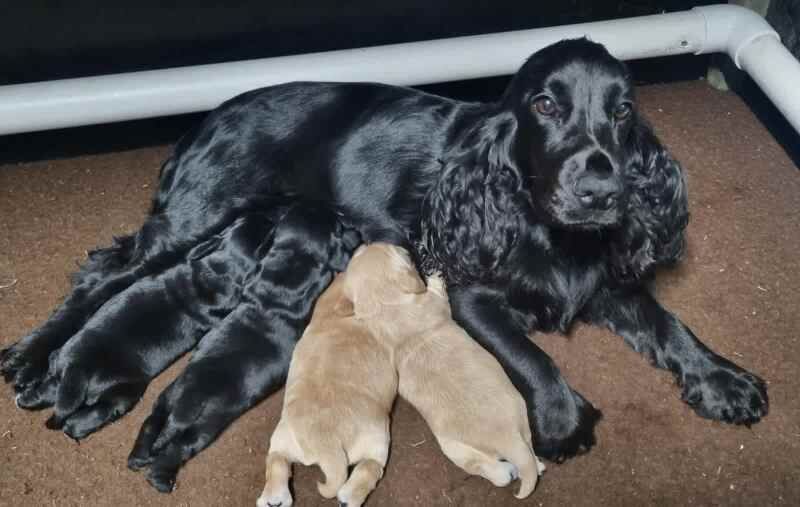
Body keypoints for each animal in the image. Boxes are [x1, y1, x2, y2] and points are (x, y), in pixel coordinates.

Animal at [1, 38, 768, 484]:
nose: (600, 190)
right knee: (104, 273)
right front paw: (560, 419)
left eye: (624, 109)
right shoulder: (470, 290)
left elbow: (671, 327)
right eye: (547, 104)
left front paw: (722, 380)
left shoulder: (603, 280)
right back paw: (35, 361)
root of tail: (208, 117)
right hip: (197, 214)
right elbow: (532, 355)